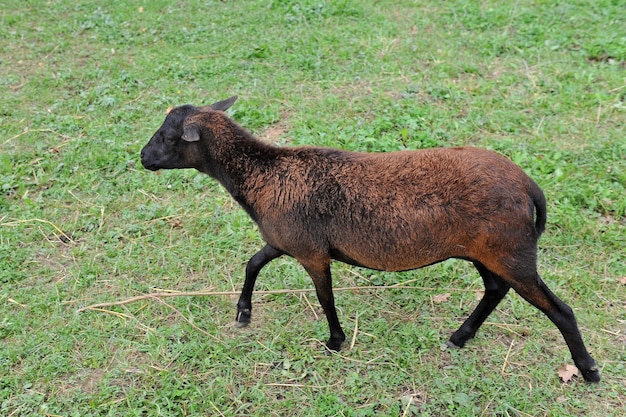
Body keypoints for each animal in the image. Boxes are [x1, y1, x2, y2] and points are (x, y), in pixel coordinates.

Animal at [139, 95, 596, 380]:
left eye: (166, 136)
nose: (143, 157)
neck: (263, 175)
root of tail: (527, 184)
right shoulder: (286, 241)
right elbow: (253, 263)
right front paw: (243, 313)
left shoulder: (312, 253)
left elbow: (325, 298)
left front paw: (335, 342)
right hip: (486, 251)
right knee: (496, 290)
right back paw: (460, 337)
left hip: (511, 251)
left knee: (559, 311)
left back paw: (589, 369)